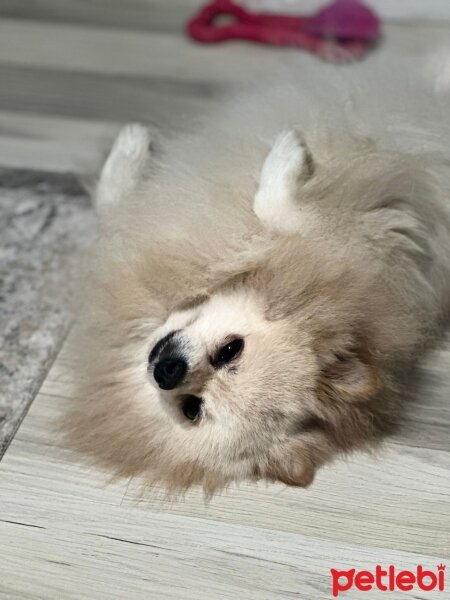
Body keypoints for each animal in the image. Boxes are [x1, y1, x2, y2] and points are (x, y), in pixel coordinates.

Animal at [66, 57, 450, 496]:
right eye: (192, 408)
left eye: (230, 351)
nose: (167, 371)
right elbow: (112, 205)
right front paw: (132, 145)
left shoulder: (347, 238)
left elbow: (276, 207)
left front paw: (285, 154)